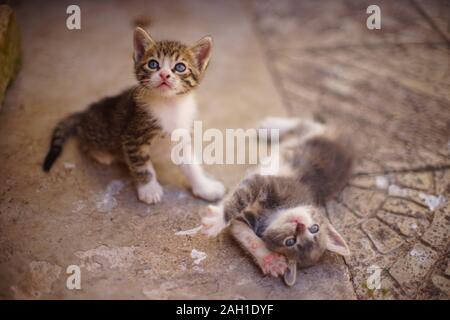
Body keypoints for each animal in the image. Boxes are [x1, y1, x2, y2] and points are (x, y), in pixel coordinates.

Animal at [43, 26, 225, 202]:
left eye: (180, 67)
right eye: (153, 64)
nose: (164, 74)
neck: (169, 104)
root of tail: (85, 112)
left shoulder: (181, 135)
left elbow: (191, 165)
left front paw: (205, 187)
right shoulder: (132, 137)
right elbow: (142, 166)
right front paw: (149, 189)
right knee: (84, 141)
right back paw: (102, 155)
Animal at [202, 116, 354, 286]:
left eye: (290, 242)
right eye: (314, 228)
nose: (300, 225)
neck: (272, 216)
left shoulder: (242, 221)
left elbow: (247, 236)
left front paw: (271, 260)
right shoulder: (270, 184)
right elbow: (241, 198)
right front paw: (218, 218)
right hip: (315, 136)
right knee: (306, 123)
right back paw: (271, 126)